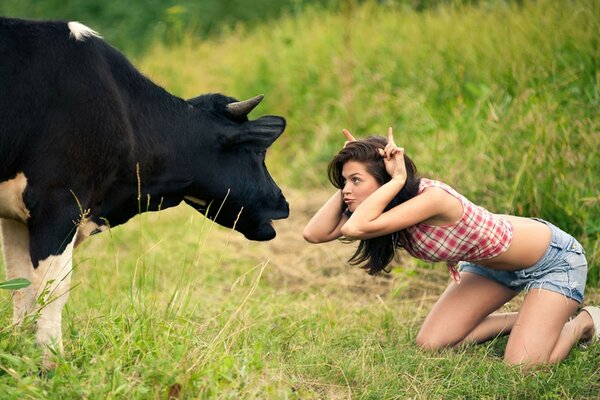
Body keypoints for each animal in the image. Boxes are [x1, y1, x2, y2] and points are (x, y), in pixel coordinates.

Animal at [0, 16, 290, 366]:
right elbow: (53, 289)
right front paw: (50, 362)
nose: (283, 202)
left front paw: (20, 354)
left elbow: (21, 286)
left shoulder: (16, 215)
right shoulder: (57, 202)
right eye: (259, 152)